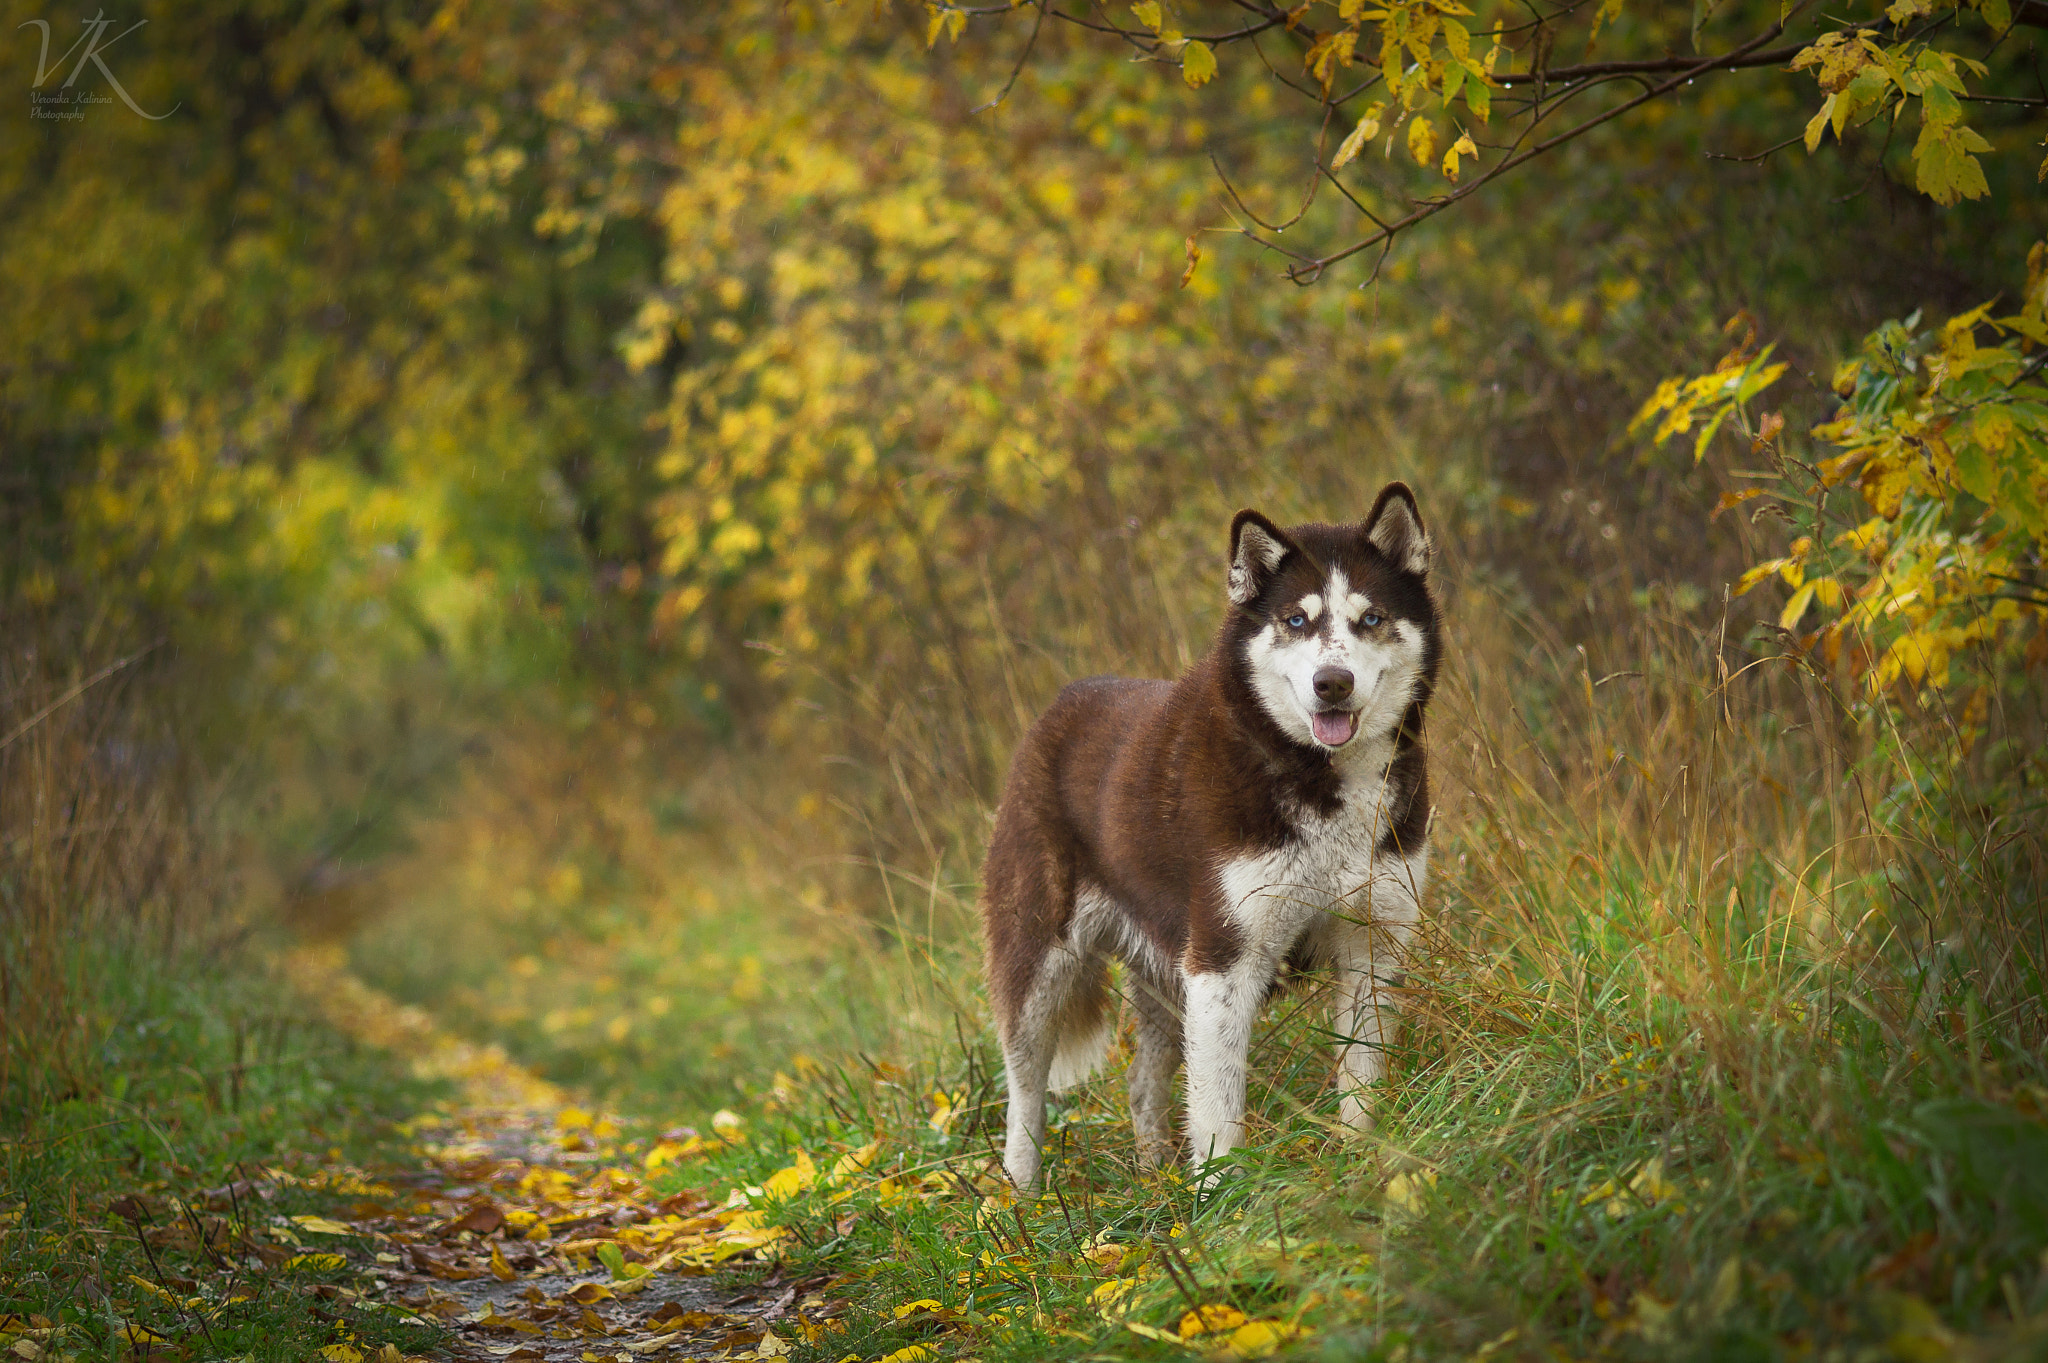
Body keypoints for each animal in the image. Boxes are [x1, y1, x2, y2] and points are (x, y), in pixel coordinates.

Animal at [978, 482, 1441, 1186]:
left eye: (1370, 618)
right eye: (1297, 620)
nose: (1331, 684)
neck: (1320, 776)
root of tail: (1055, 711)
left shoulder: (1373, 943)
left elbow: (1360, 1083)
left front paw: (1366, 1161)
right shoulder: (1224, 963)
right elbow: (1220, 1113)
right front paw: (1224, 1198)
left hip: (1167, 977)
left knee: (1143, 1084)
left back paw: (1154, 1177)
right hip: (1040, 967)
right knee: (1025, 1096)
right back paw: (1020, 1198)